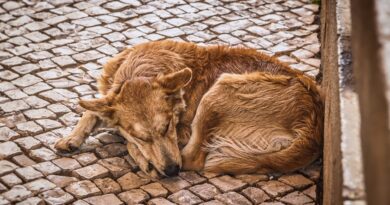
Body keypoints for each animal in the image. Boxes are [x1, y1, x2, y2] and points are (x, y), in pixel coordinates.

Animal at [54, 40, 322, 178]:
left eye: (168, 127)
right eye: (144, 136)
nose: (172, 171)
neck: (142, 69)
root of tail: (313, 131)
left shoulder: (182, 132)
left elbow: (124, 137)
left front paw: (142, 156)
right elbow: (92, 110)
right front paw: (71, 138)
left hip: (218, 91)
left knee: (192, 159)